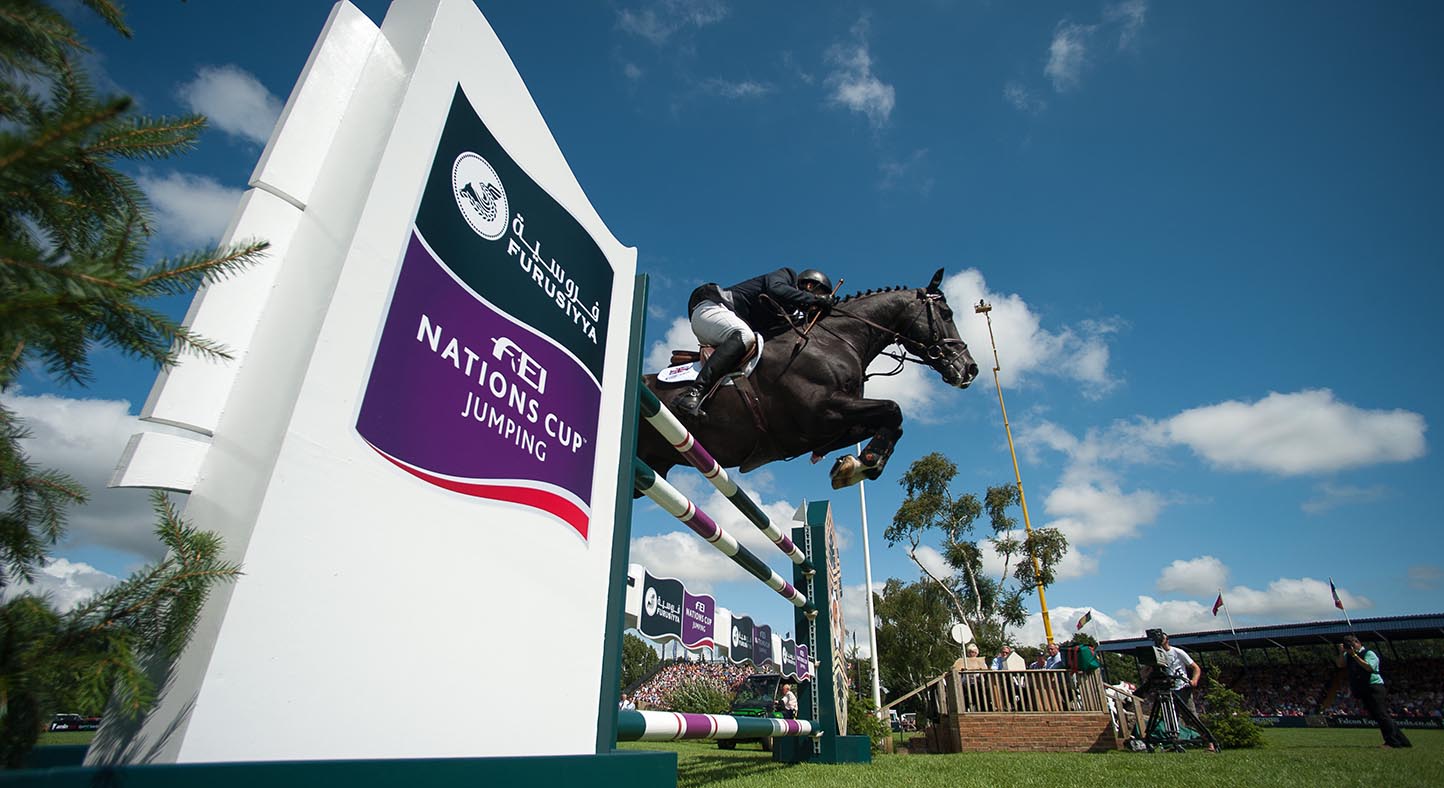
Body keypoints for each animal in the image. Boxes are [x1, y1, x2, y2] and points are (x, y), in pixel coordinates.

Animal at [641, 266, 981, 487]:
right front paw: (865, 463)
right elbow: (893, 409)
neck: (833, 341)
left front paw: (853, 464)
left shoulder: (830, 425)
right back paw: (691, 400)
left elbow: (888, 423)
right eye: (947, 314)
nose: (970, 369)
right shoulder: (822, 411)